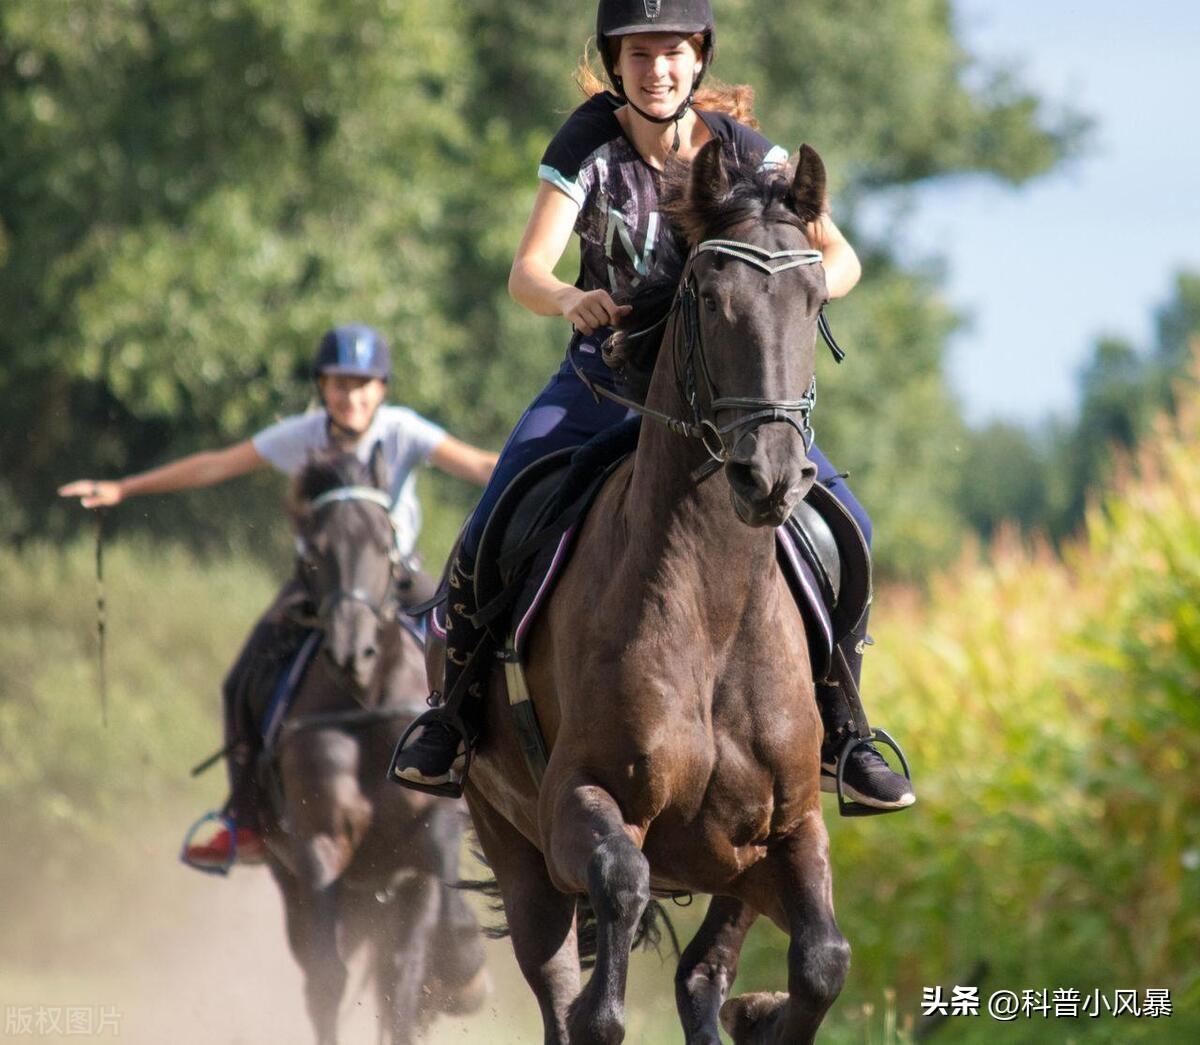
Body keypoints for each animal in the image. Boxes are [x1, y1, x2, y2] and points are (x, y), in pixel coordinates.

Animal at [262, 453, 487, 1045]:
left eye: (386, 543)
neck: (365, 702)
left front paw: (460, 966)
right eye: (315, 552)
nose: (352, 650)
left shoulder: (421, 854)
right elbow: (327, 978)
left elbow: (409, 979)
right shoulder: (318, 844)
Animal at [458, 145, 844, 1045]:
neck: (713, 611)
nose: (770, 476)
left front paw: (763, 1012)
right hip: (513, 844)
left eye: (814, 299)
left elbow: (822, 960)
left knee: (701, 975)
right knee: (558, 985)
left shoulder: (786, 827)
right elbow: (616, 919)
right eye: (707, 296)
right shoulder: (580, 799)